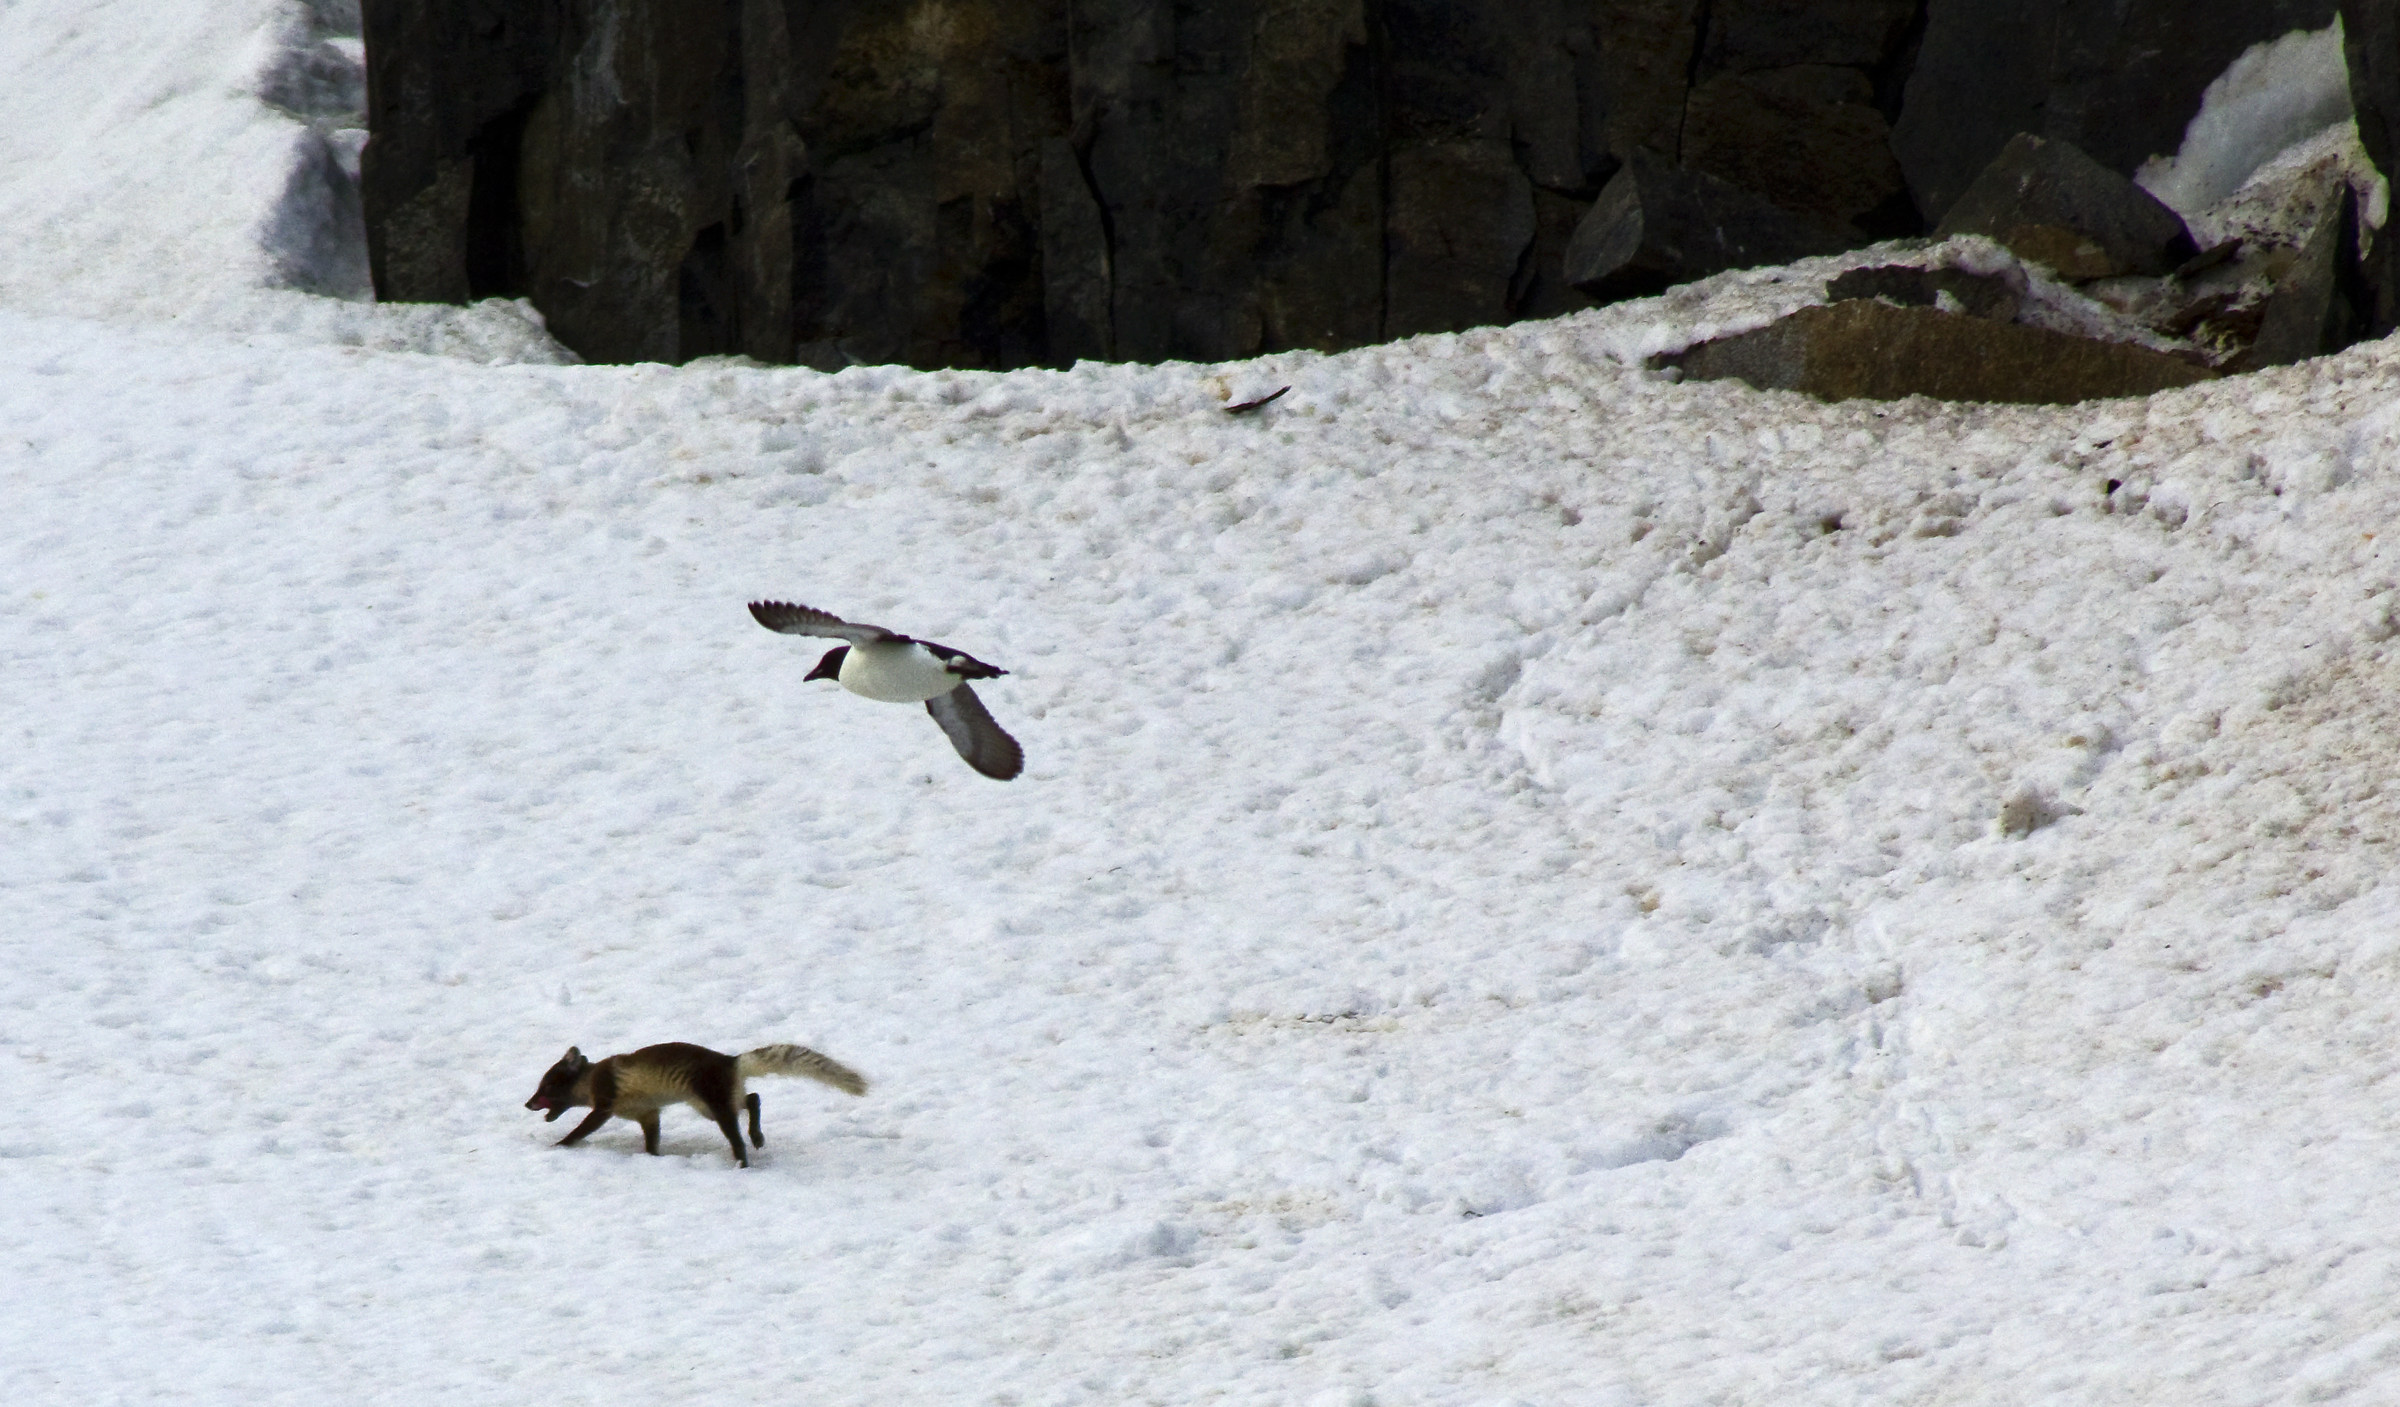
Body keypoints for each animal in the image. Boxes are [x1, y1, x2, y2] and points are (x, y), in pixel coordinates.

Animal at [523, 1042, 867, 1167]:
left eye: (547, 1085)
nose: (527, 1104)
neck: (591, 1078)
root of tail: (731, 1061)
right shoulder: (648, 1113)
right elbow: (652, 1141)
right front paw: (653, 1159)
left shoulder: (604, 1105)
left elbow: (580, 1130)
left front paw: (559, 1146)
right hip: (710, 1105)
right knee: (753, 1098)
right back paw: (758, 1138)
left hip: (714, 1106)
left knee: (740, 1132)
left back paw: (744, 1160)